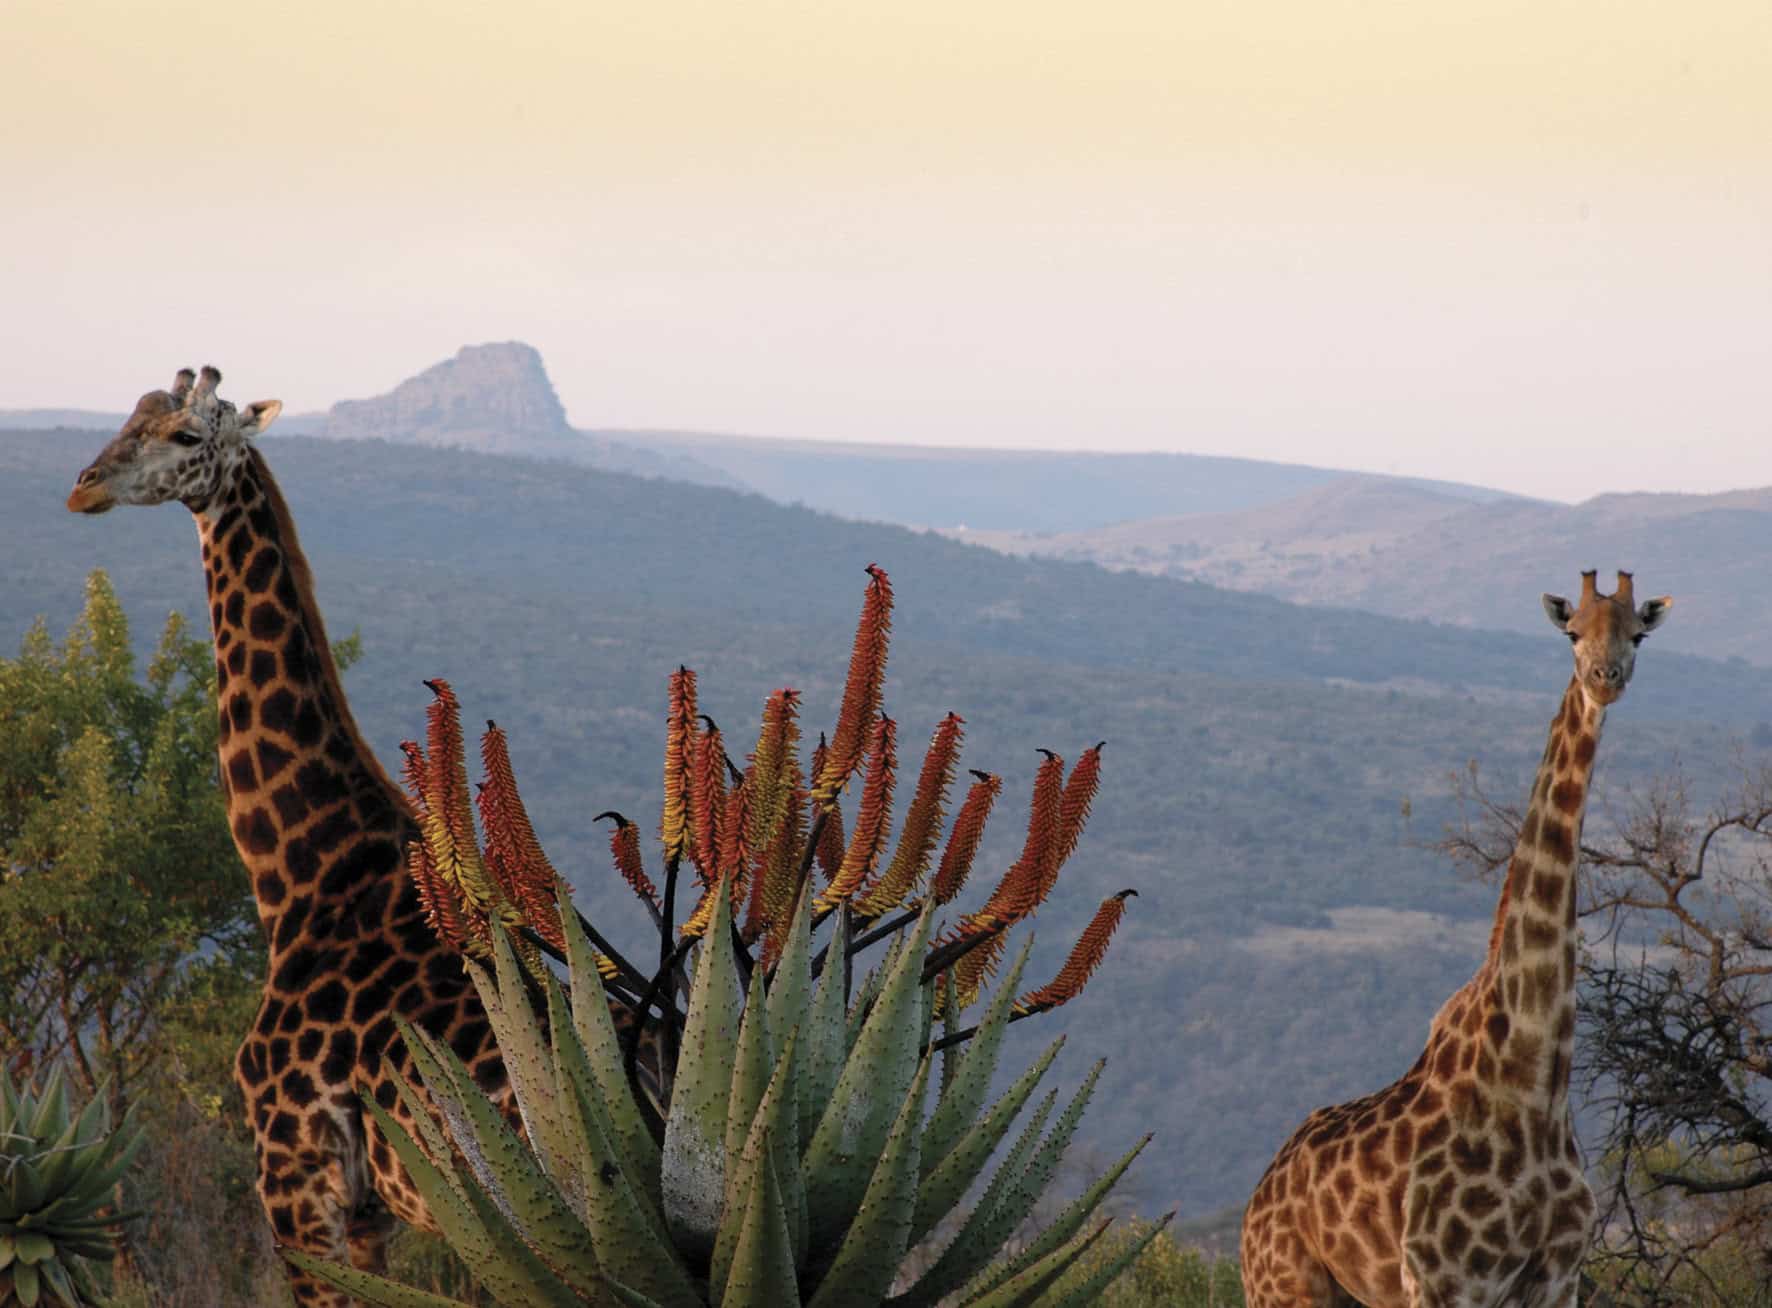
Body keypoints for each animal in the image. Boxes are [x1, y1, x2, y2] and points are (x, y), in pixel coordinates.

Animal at [67, 366, 630, 1304]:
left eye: (185, 436)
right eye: (129, 416)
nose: (85, 486)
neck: (304, 874)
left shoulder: (298, 1185)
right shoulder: (369, 1220)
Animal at [1240, 570, 1665, 1304]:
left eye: (1636, 634)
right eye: (1571, 633)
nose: (1604, 679)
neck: (1532, 1080)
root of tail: (1257, 1201)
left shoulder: (1559, 1276)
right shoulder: (1443, 1277)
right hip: (1283, 1288)